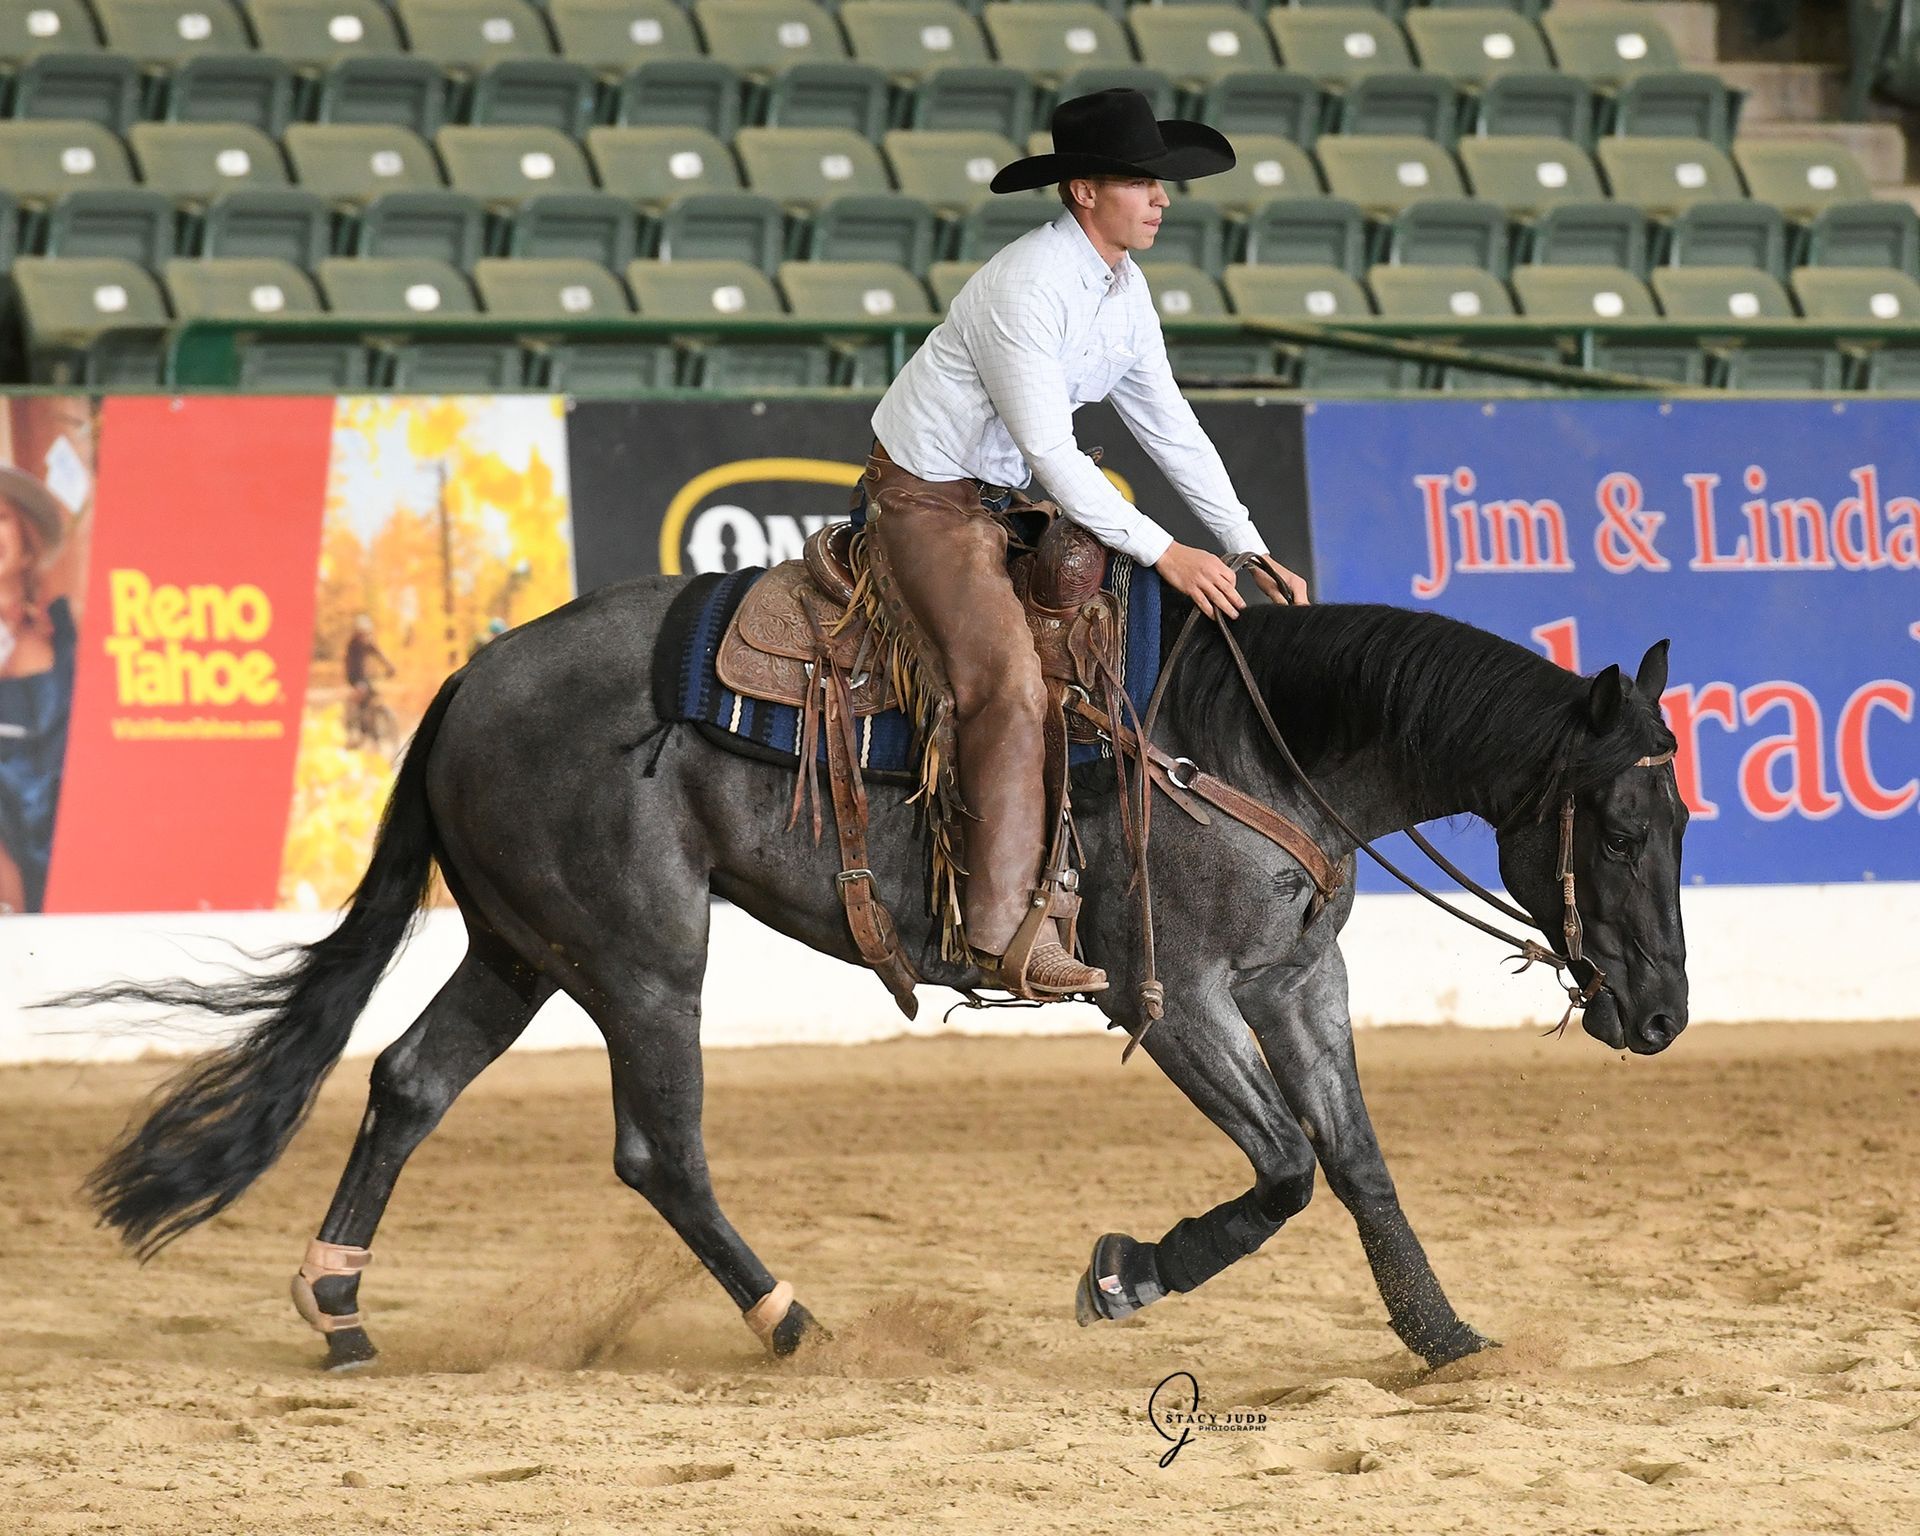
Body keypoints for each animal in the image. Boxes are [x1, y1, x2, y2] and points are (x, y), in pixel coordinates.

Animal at [73, 577, 1689, 1373]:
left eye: (1684, 822)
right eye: (1617, 824)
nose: (1665, 1014)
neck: (1246, 744)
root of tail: (470, 678)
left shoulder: (1300, 988)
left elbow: (1357, 1167)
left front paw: (1446, 1341)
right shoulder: (1172, 999)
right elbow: (1288, 1168)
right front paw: (1125, 1276)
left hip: (527, 946)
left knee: (408, 1081)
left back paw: (341, 1311)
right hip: (641, 953)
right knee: (661, 1148)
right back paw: (794, 1325)